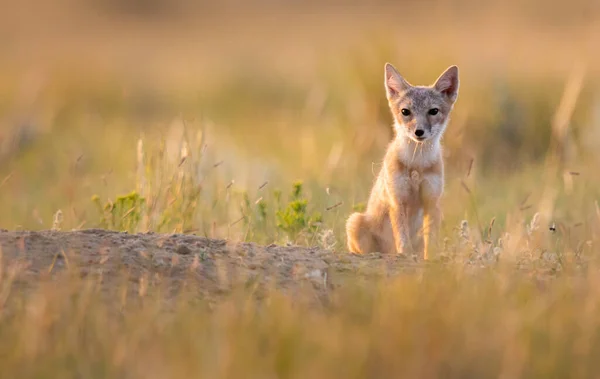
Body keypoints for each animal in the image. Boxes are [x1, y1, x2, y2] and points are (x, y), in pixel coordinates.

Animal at [346, 63, 460, 260]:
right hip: (354, 221)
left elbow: (431, 240)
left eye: (433, 111)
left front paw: (431, 260)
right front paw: (405, 256)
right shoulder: (397, 200)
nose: (419, 131)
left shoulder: (432, 201)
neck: (417, 164)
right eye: (405, 112)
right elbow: (402, 237)